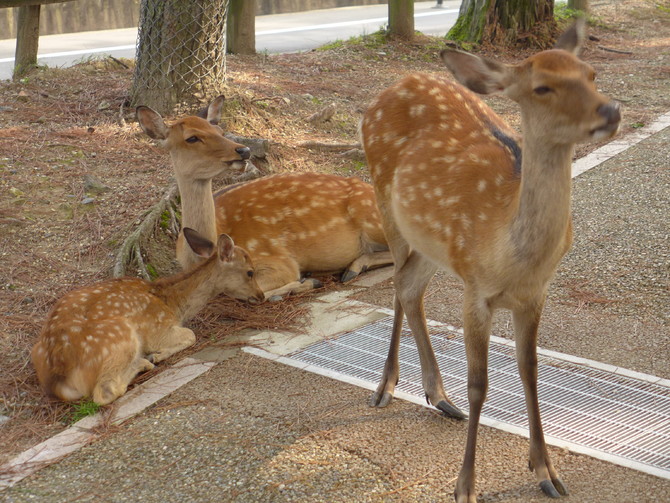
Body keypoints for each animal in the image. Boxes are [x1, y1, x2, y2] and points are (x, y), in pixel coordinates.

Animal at [32, 230, 262, 408]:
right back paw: (143, 362)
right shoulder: (158, 329)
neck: (173, 304)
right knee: (104, 392)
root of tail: (58, 370)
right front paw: (158, 355)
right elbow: (191, 334)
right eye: (250, 272)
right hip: (118, 336)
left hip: (38, 349)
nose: (260, 295)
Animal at [136, 100, 394, 302]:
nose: (243, 150)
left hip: (373, 218)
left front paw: (303, 283)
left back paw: (353, 268)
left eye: (219, 130)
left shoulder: (278, 260)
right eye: (192, 138)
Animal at [364, 17, 624, 502]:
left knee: (408, 287)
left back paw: (438, 397)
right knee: (397, 285)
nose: (611, 111)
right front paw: (465, 485)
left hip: (432, 242)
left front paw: (546, 471)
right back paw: (386, 386)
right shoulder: (476, 290)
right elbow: (479, 386)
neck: (513, 256)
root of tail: (391, 86)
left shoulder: (535, 295)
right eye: (542, 87)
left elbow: (530, 371)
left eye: (591, 74)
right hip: (383, 200)